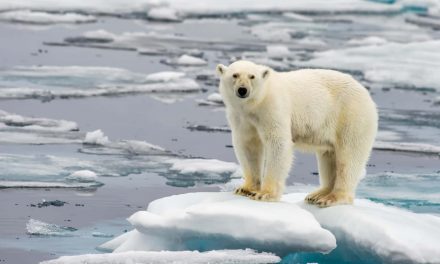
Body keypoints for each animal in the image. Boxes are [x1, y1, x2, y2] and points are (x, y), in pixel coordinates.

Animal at [217, 60, 378, 207]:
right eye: (235, 75)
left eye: (252, 76)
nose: (242, 90)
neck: (255, 104)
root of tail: (366, 94)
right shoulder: (241, 117)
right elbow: (248, 146)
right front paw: (245, 189)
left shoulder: (273, 108)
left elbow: (278, 143)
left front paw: (265, 194)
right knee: (329, 156)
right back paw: (317, 195)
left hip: (351, 116)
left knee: (348, 157)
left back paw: (332, 198)